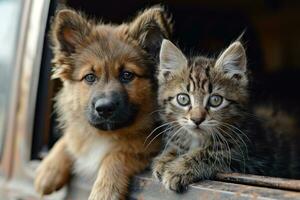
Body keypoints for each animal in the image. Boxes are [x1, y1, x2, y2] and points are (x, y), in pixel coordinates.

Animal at [34, 6, 172, 200]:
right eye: (90, 77)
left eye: (127, 75)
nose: (105, 108)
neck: (104, 135)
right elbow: (68, 138)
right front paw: (49, 170)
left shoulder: (149, 146)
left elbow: (118, 154)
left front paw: (105, 190)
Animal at [152, 38, 300, 192]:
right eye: (183, 99)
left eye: (215, 100)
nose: (197, 120)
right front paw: (165, 157)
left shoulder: (254, 160)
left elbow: (211, 154)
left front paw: (178, 168)